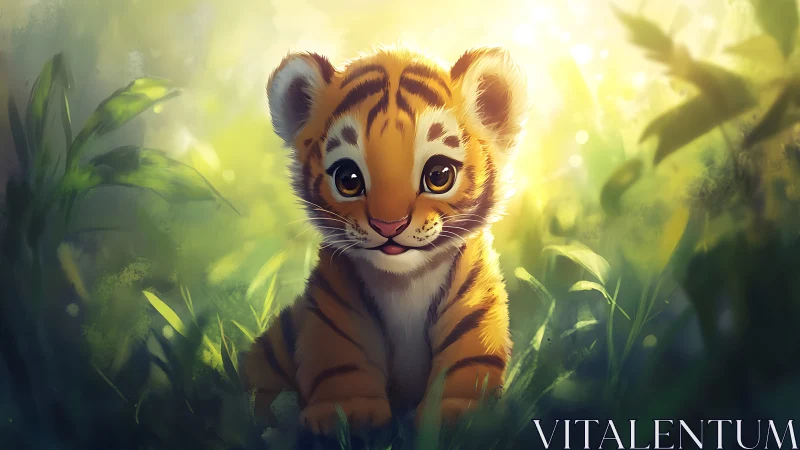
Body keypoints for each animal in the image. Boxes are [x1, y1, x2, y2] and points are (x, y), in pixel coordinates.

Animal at [240, 45, 529, 435]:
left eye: (439, 175)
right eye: (348, 178)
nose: (388, 225)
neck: (404, 282)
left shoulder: (474, 310)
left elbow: (467, 362)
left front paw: (461, 414)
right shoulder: (335, 312)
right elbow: (340, 362)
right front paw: (348, 414)